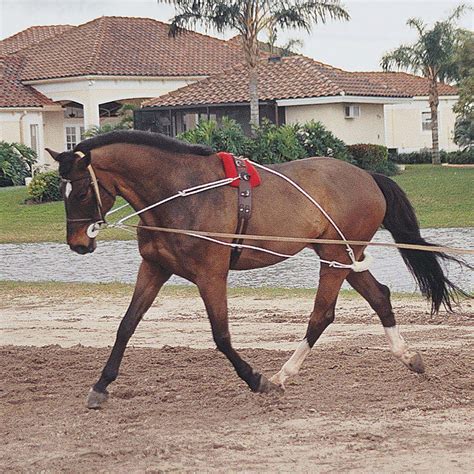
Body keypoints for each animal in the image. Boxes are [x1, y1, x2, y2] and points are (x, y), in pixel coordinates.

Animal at [47, 129, 462, 408]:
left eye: (80, 191)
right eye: (62, 192)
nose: (78, 243)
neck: (180, 193)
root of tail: (367, 176)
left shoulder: (211, 276)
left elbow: (221, 336)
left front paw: (255, 379)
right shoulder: (153, 269)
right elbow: (126, 326)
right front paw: (101, 386)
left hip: (334, 258)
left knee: (322, 315)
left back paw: (282, 375)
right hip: (343, 257)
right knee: (380, 298)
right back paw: (409, 357)